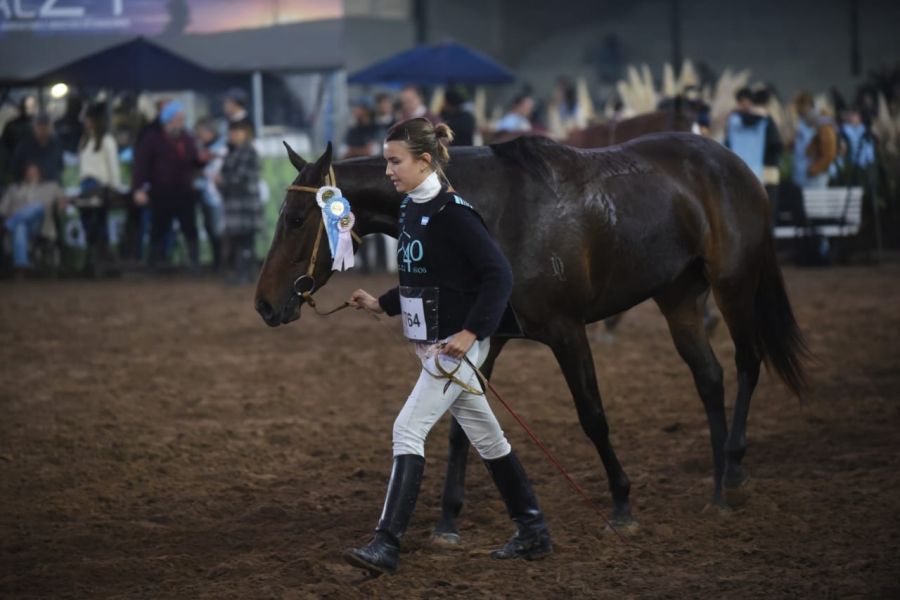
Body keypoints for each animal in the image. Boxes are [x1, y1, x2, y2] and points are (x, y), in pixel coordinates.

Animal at [255, 134, 808, 536]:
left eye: (297, 219)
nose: (264, 304)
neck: (491, 210)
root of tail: (732, 163)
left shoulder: (567, 331)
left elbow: (593, 417)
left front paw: (621, 502)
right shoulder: (485, 336)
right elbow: (463, 429)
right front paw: (448, 519)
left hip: (734, 285)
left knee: (747, 363)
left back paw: (734, 471)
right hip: (678, 298)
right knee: (709, 377)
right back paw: (718, 487)